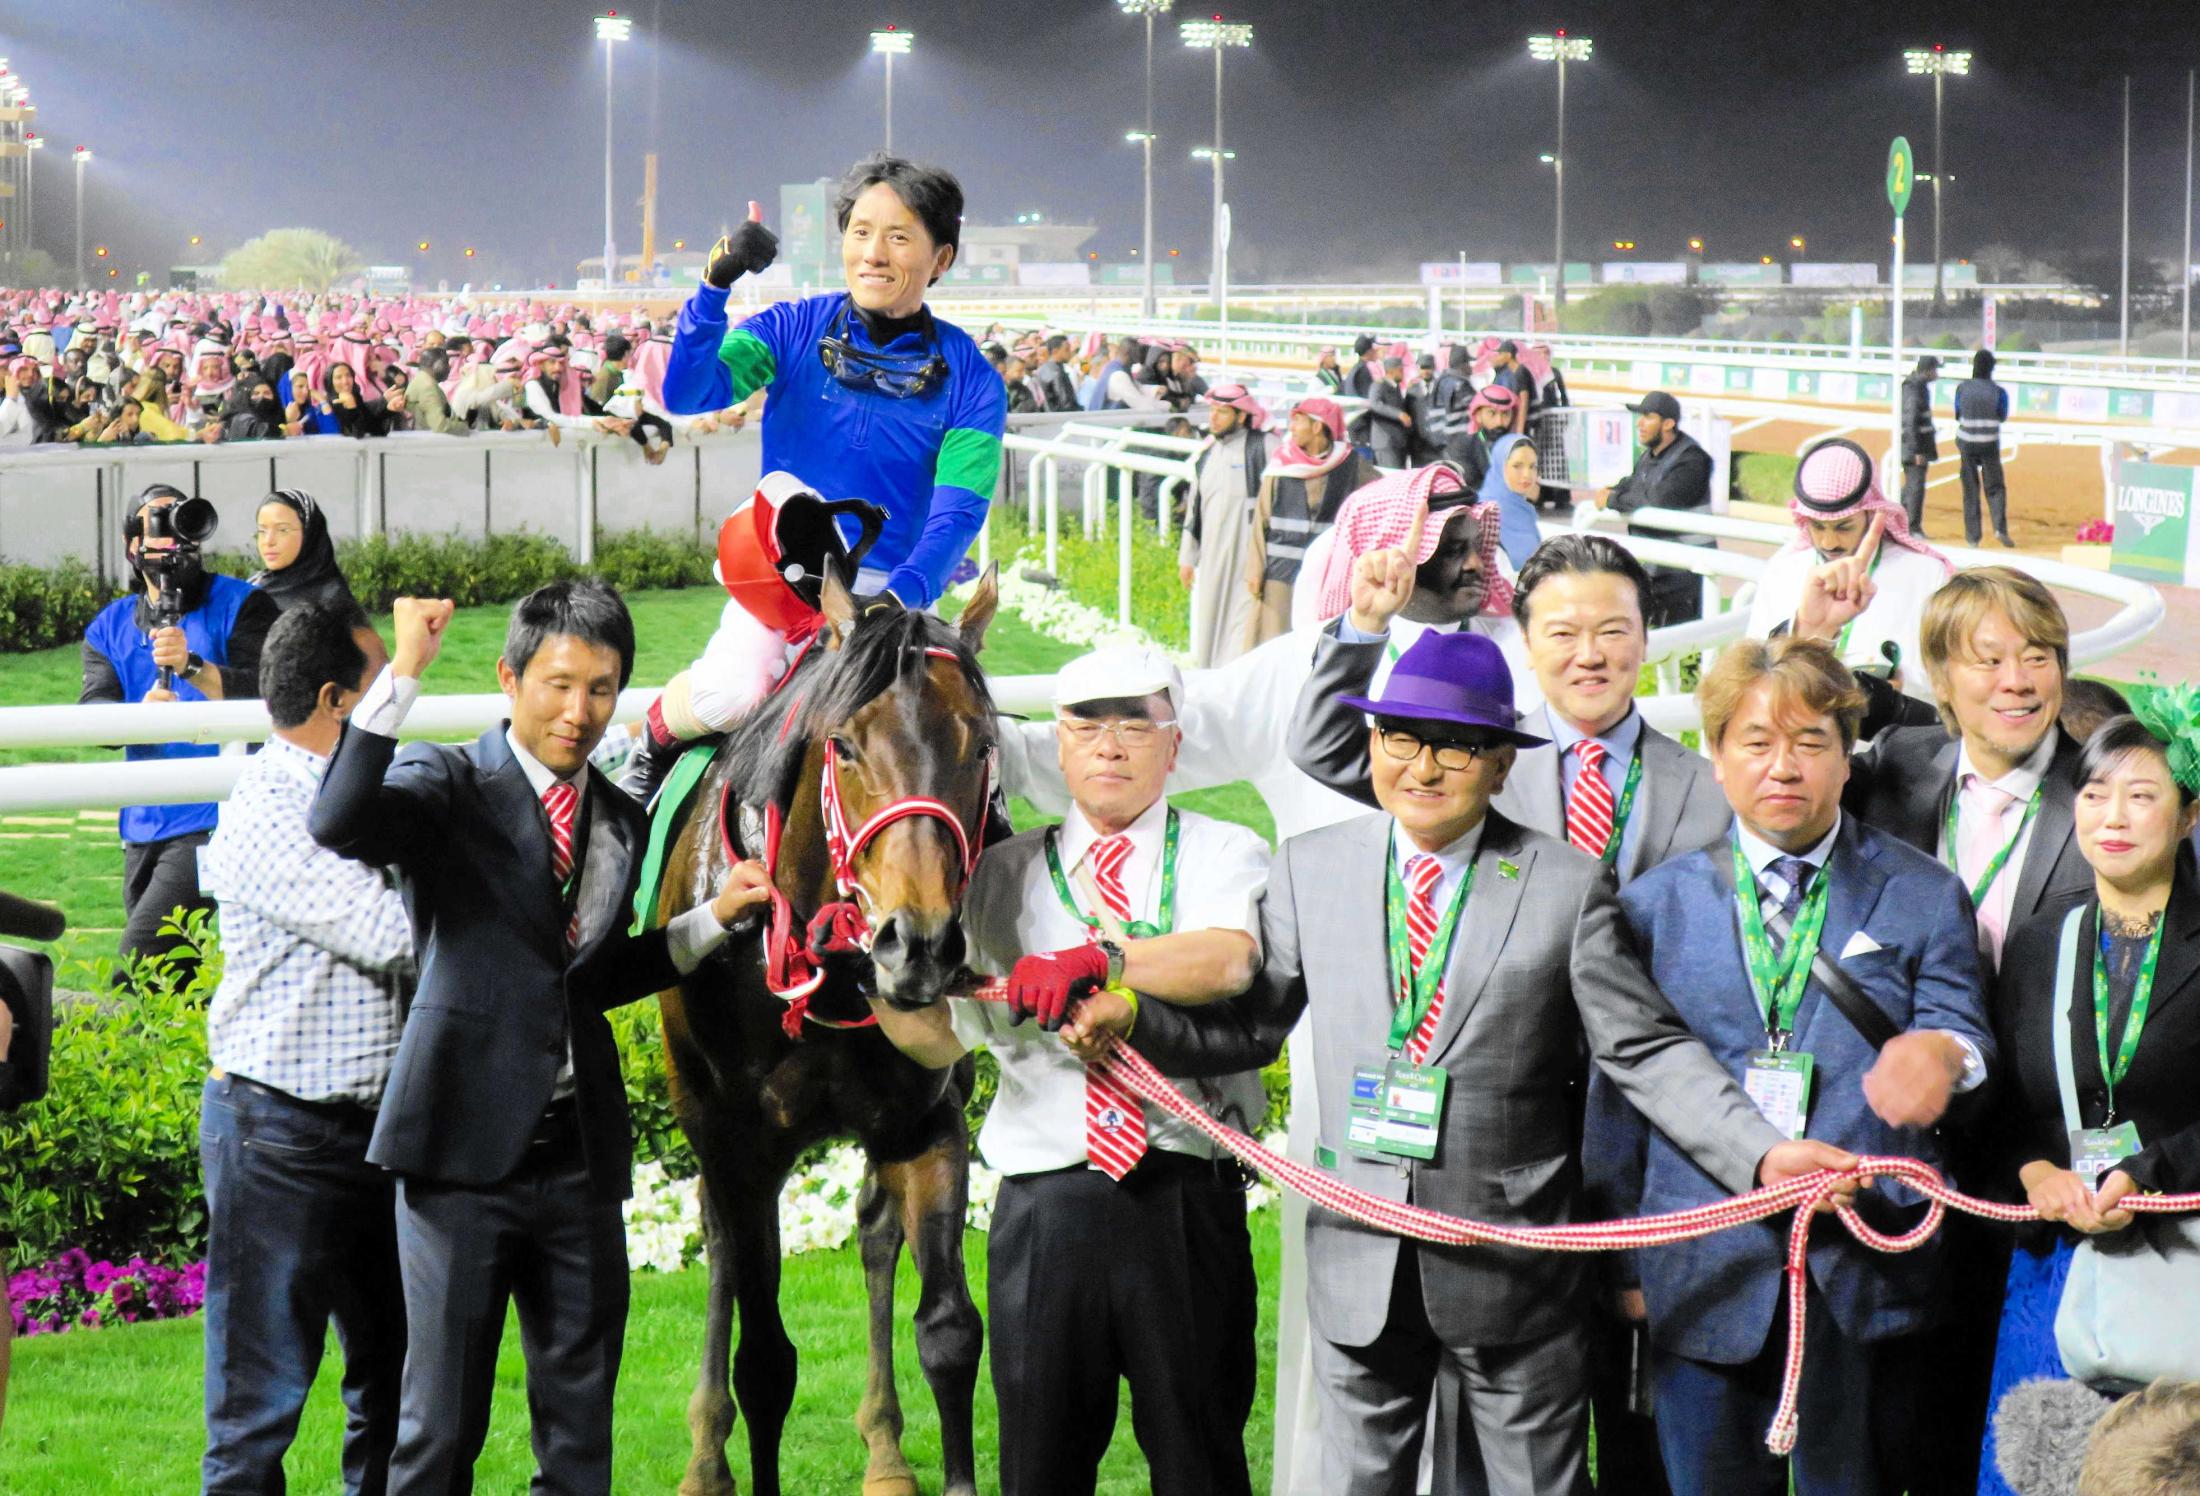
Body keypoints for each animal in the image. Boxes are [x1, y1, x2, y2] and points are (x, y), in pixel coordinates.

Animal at [646, 567, 1003, 1496]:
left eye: (982, 745)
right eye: (844, 746)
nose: (918, 944)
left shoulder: (926, 1121)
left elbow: (949, 1329)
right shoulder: (741, 1141)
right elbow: (765, 1359)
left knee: (875, 1230)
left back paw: (884, 1449)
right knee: (722, 1250)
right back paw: (706, 1458)